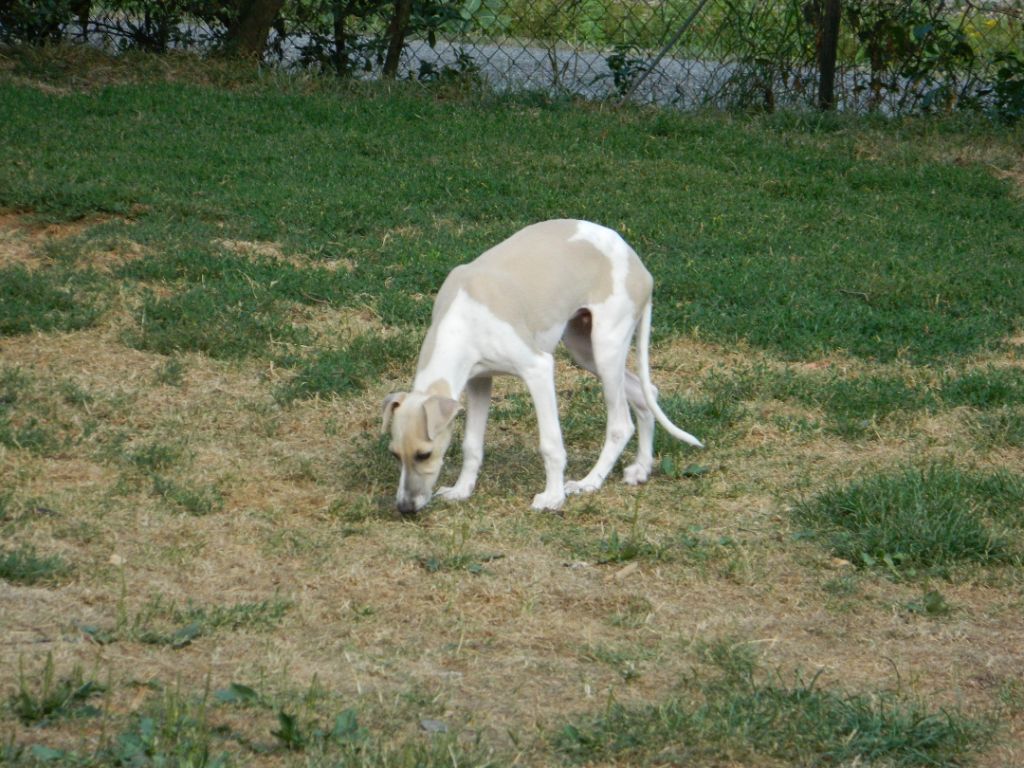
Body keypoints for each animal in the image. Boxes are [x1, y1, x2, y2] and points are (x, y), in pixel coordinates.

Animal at [380, 218, 700, 518]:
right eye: (394, 454)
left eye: (424, 454)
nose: (405, 507)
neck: (462, 316)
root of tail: (638, 263)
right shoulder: (479, 381)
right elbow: (472, 444)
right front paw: (461, 490)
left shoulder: (538, 369)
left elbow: (551, 444)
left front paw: (553, 498)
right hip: (584, 348)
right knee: (646, 395)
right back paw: (641, 468)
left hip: (606, 346)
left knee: (621, 423)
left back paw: (588, 482)